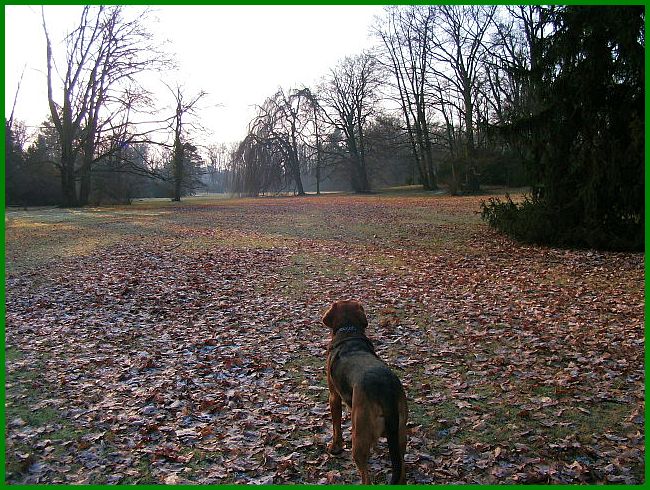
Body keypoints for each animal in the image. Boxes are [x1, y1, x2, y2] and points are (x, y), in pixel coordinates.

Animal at [322, 298, 408, 482]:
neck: (349, 330)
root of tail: (386, 391)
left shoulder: (334, 396)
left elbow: (336, 426)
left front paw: (335, 447)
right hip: (400, 435)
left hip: (359, 438)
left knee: (367, 478)